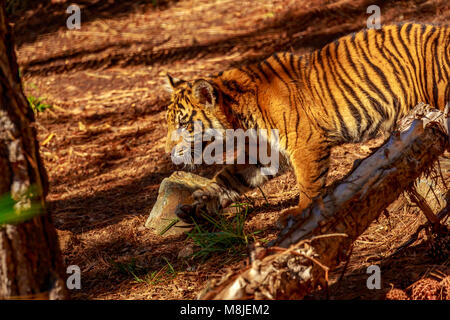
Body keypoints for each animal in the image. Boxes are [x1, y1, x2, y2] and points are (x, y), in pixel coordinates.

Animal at [164, 22, 450, 226]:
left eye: (183, 125)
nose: (168, 152)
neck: (239, 120)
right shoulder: (264, 152)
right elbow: (227, 178)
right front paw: (197, 204)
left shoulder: (305, 143)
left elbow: (307, 182)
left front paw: (299, 213)